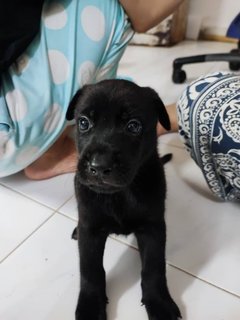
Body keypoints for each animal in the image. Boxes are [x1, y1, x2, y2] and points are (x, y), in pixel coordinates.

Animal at [66, 79, 181, 320]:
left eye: (133, 126)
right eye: (84, 122)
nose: (99, 166)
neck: (119, 194)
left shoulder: (153, 228)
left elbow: (153, 268)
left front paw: (159, 303)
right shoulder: (90, 229)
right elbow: (90, 269)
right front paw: (90, 306)